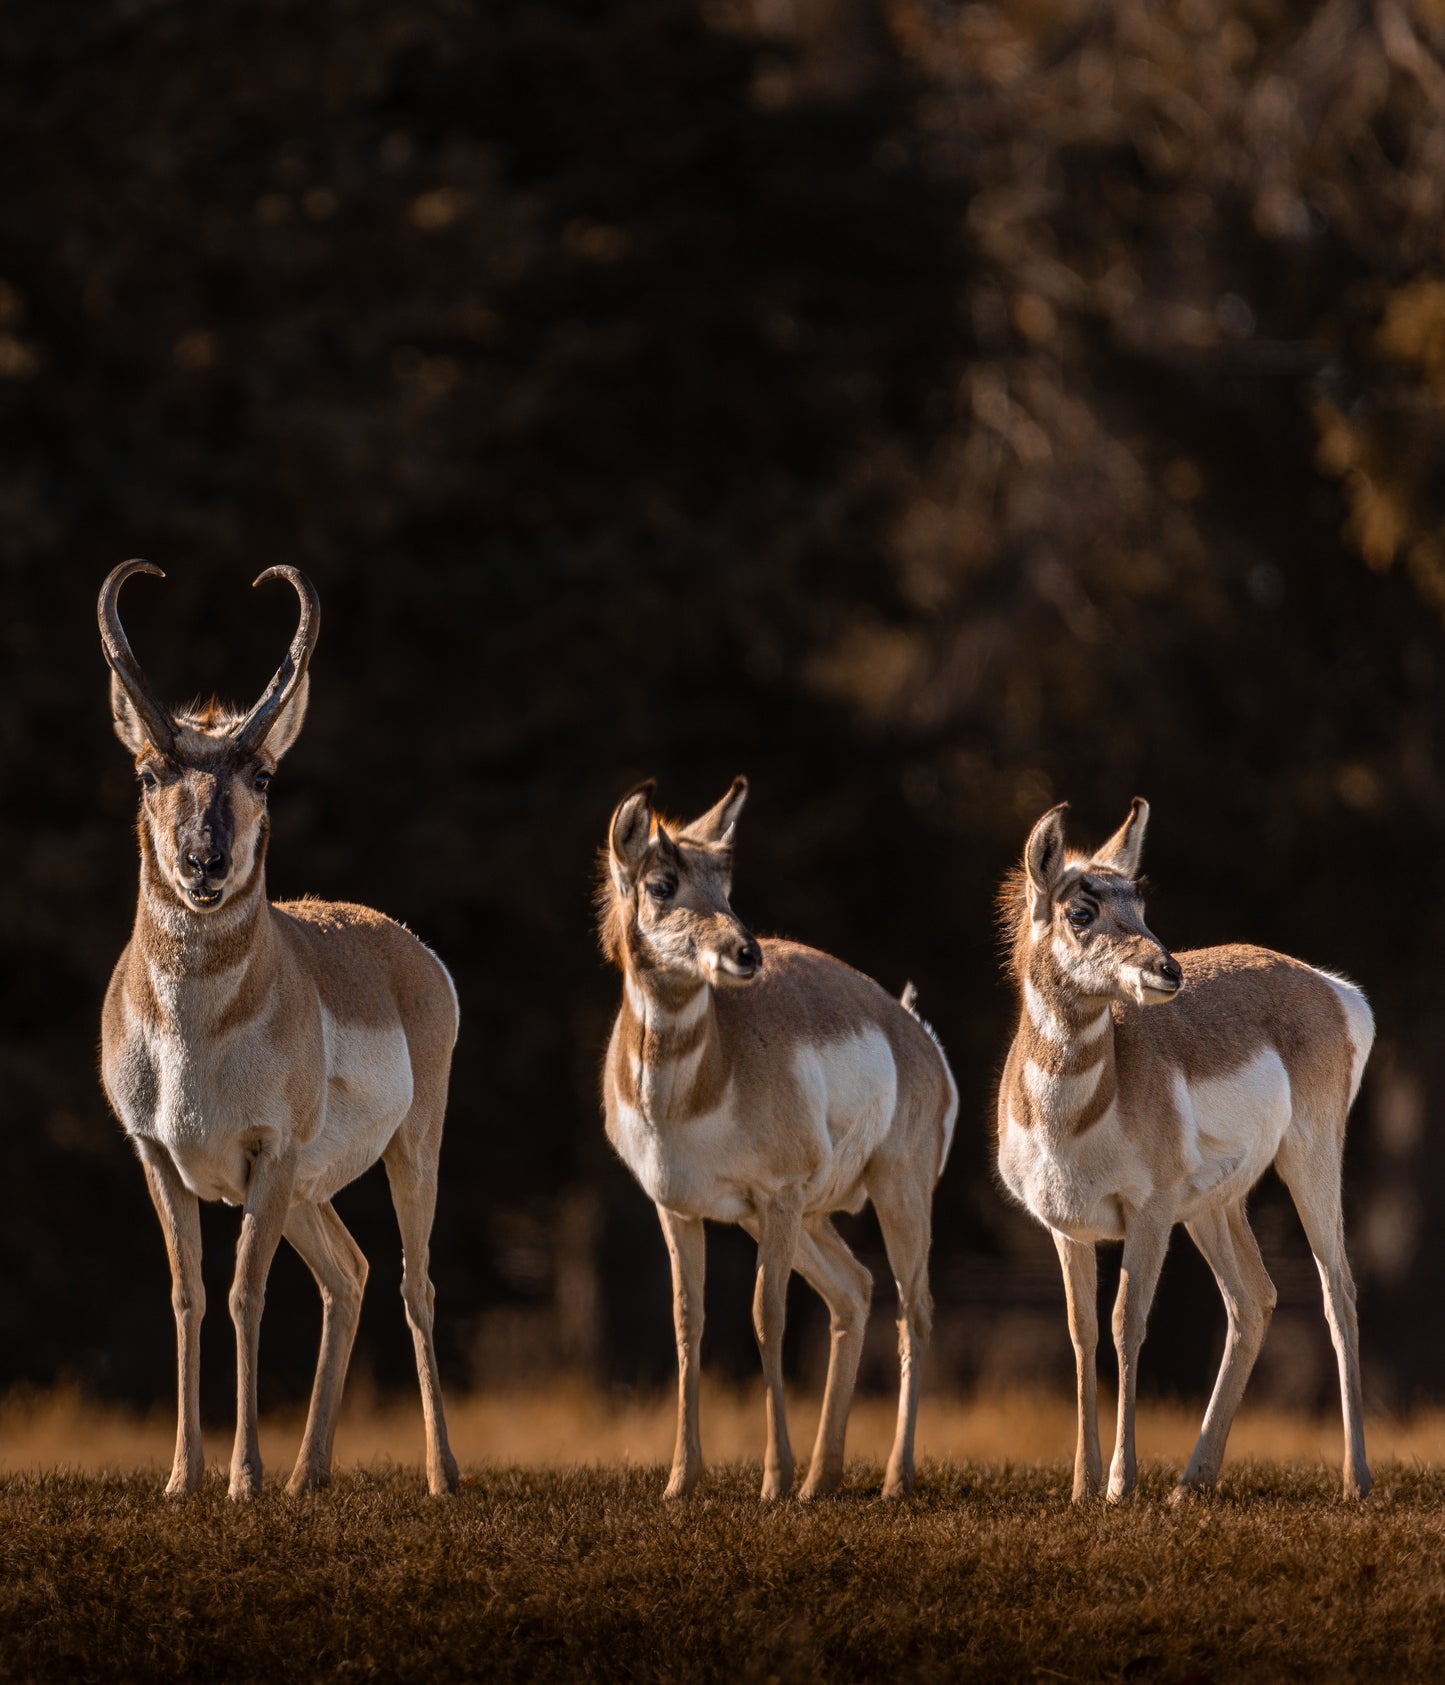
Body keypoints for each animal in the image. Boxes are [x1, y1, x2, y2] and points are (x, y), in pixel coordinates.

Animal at [97, 562, 454, 1503]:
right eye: (148, 772)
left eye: (261, 775)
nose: (204, 863)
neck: (195, 1039)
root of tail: (404, 945)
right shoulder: (158, 1156)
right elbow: (187, 1294)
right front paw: (182, 1477)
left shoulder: (269, 1151)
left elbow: (244, 1295)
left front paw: (241, 1477)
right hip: (308, 1191)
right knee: (348, 1273)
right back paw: (308, 1474)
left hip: (404, 1150)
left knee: (412, 1281)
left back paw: (439, 1473)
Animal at [592, 775, 949, 1503]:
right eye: (662, 882)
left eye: (726, 880)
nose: (746, 952)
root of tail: (910, 1028)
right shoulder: (679, 1209)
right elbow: (687, 1320)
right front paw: (680, 1481)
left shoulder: (777, 1196)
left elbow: (766, 1315)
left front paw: (771, 1480)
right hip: (802, 1217)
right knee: (854, 1290)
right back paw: (820, 1479)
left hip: (891, 1195)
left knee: (914, 1310)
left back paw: (891, 1479)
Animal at [997, 798, 1367, 1503]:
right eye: (1080, 911)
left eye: (1140, 900)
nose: (1169, 971)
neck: (1080, 1115)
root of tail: (1331, 988)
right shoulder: (1067, 1229)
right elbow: (1081, 1332)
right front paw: (1081, 1486)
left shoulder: (1147, 1213)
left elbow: (1126, 1322)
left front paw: (1120, 1484)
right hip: (1214, 1207)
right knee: (1254, 1299)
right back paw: (1191, 1483)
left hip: (1307, 1162)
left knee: (1337, 1293)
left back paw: (1354, 1481)